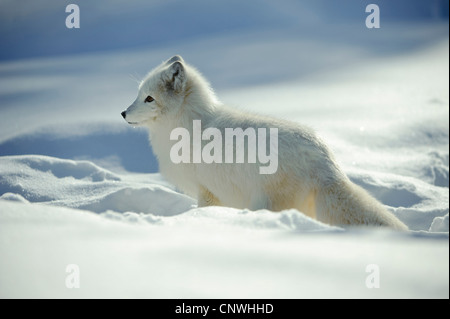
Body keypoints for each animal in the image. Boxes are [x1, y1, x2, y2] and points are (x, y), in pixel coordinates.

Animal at [122, 55, 408, 230]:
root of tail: (326, 162)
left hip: (266, 202)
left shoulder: (208, 192)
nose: (123, 113)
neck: (189, 124)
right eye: (138, 95)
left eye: (149, 98)